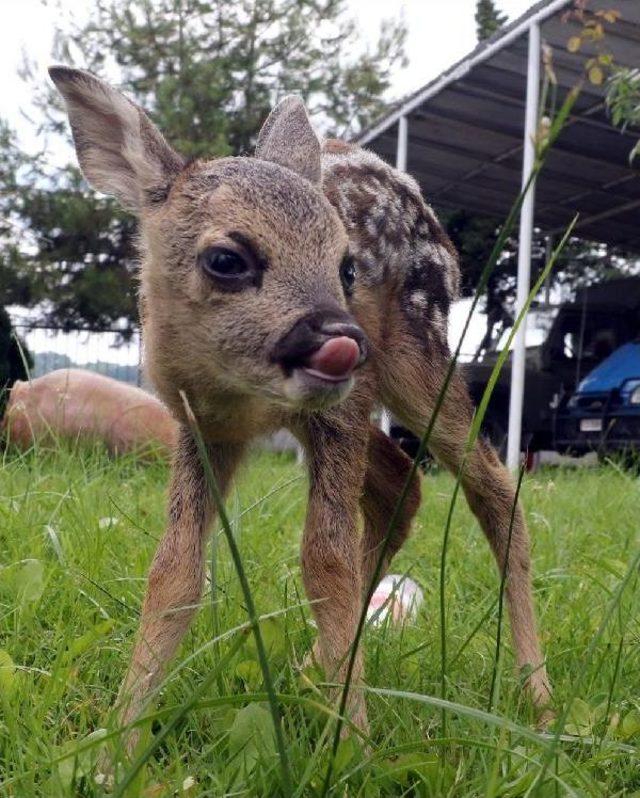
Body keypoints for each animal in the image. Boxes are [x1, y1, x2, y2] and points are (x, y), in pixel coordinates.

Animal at [51, 65, 552, 752]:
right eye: (226, 259)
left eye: (346, 267)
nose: (343, 340)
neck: (243, 397)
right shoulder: (199, 426)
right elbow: (175, 571)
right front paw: (115, 745)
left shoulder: (335, 412)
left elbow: (324, 562)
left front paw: (354, 746)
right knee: (403, 482)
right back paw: (317, 665)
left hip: (417, 361)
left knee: (495, 491)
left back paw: (539, 701)